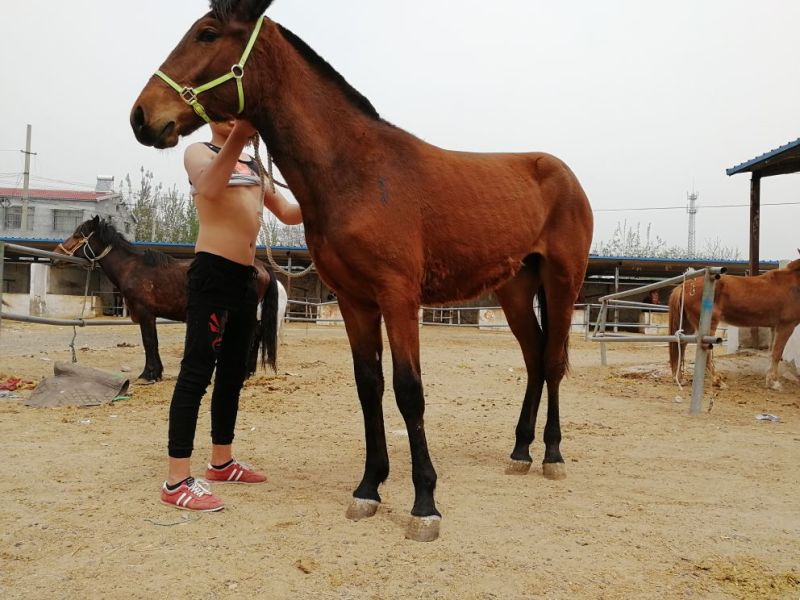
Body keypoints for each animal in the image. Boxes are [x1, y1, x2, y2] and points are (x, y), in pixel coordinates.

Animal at [54, 216, 284, 381]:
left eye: (78, 235)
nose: (56, 255)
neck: (133, 267)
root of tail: (262, 266)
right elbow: (152, 342)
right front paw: (156, 372)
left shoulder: (145, 313)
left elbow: (149, 342)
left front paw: (149, 374)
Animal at [130, 0, 593, 542]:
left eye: (206, 33)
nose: (141, 116)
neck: (355, 171)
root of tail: (564, 175)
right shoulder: (355, 302)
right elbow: (368, 387)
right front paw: (370, 488)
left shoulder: (399, 299)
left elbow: (409, 392)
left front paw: (424, 504)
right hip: (516, 291)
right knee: (536, 360)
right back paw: (520, 451)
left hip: (562, 283)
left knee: (554, 360)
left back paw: (553, 455)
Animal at [668, 257, 800, 390]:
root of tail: (685, 285)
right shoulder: (786, 326)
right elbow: (777, 353)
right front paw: (774, 383)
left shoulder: (774, 327)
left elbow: (772, 353)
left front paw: (769, 380)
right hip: (708, 325)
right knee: (706, 352)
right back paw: (718, 381)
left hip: (687, 325)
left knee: (681, 344)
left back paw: (679, 378)